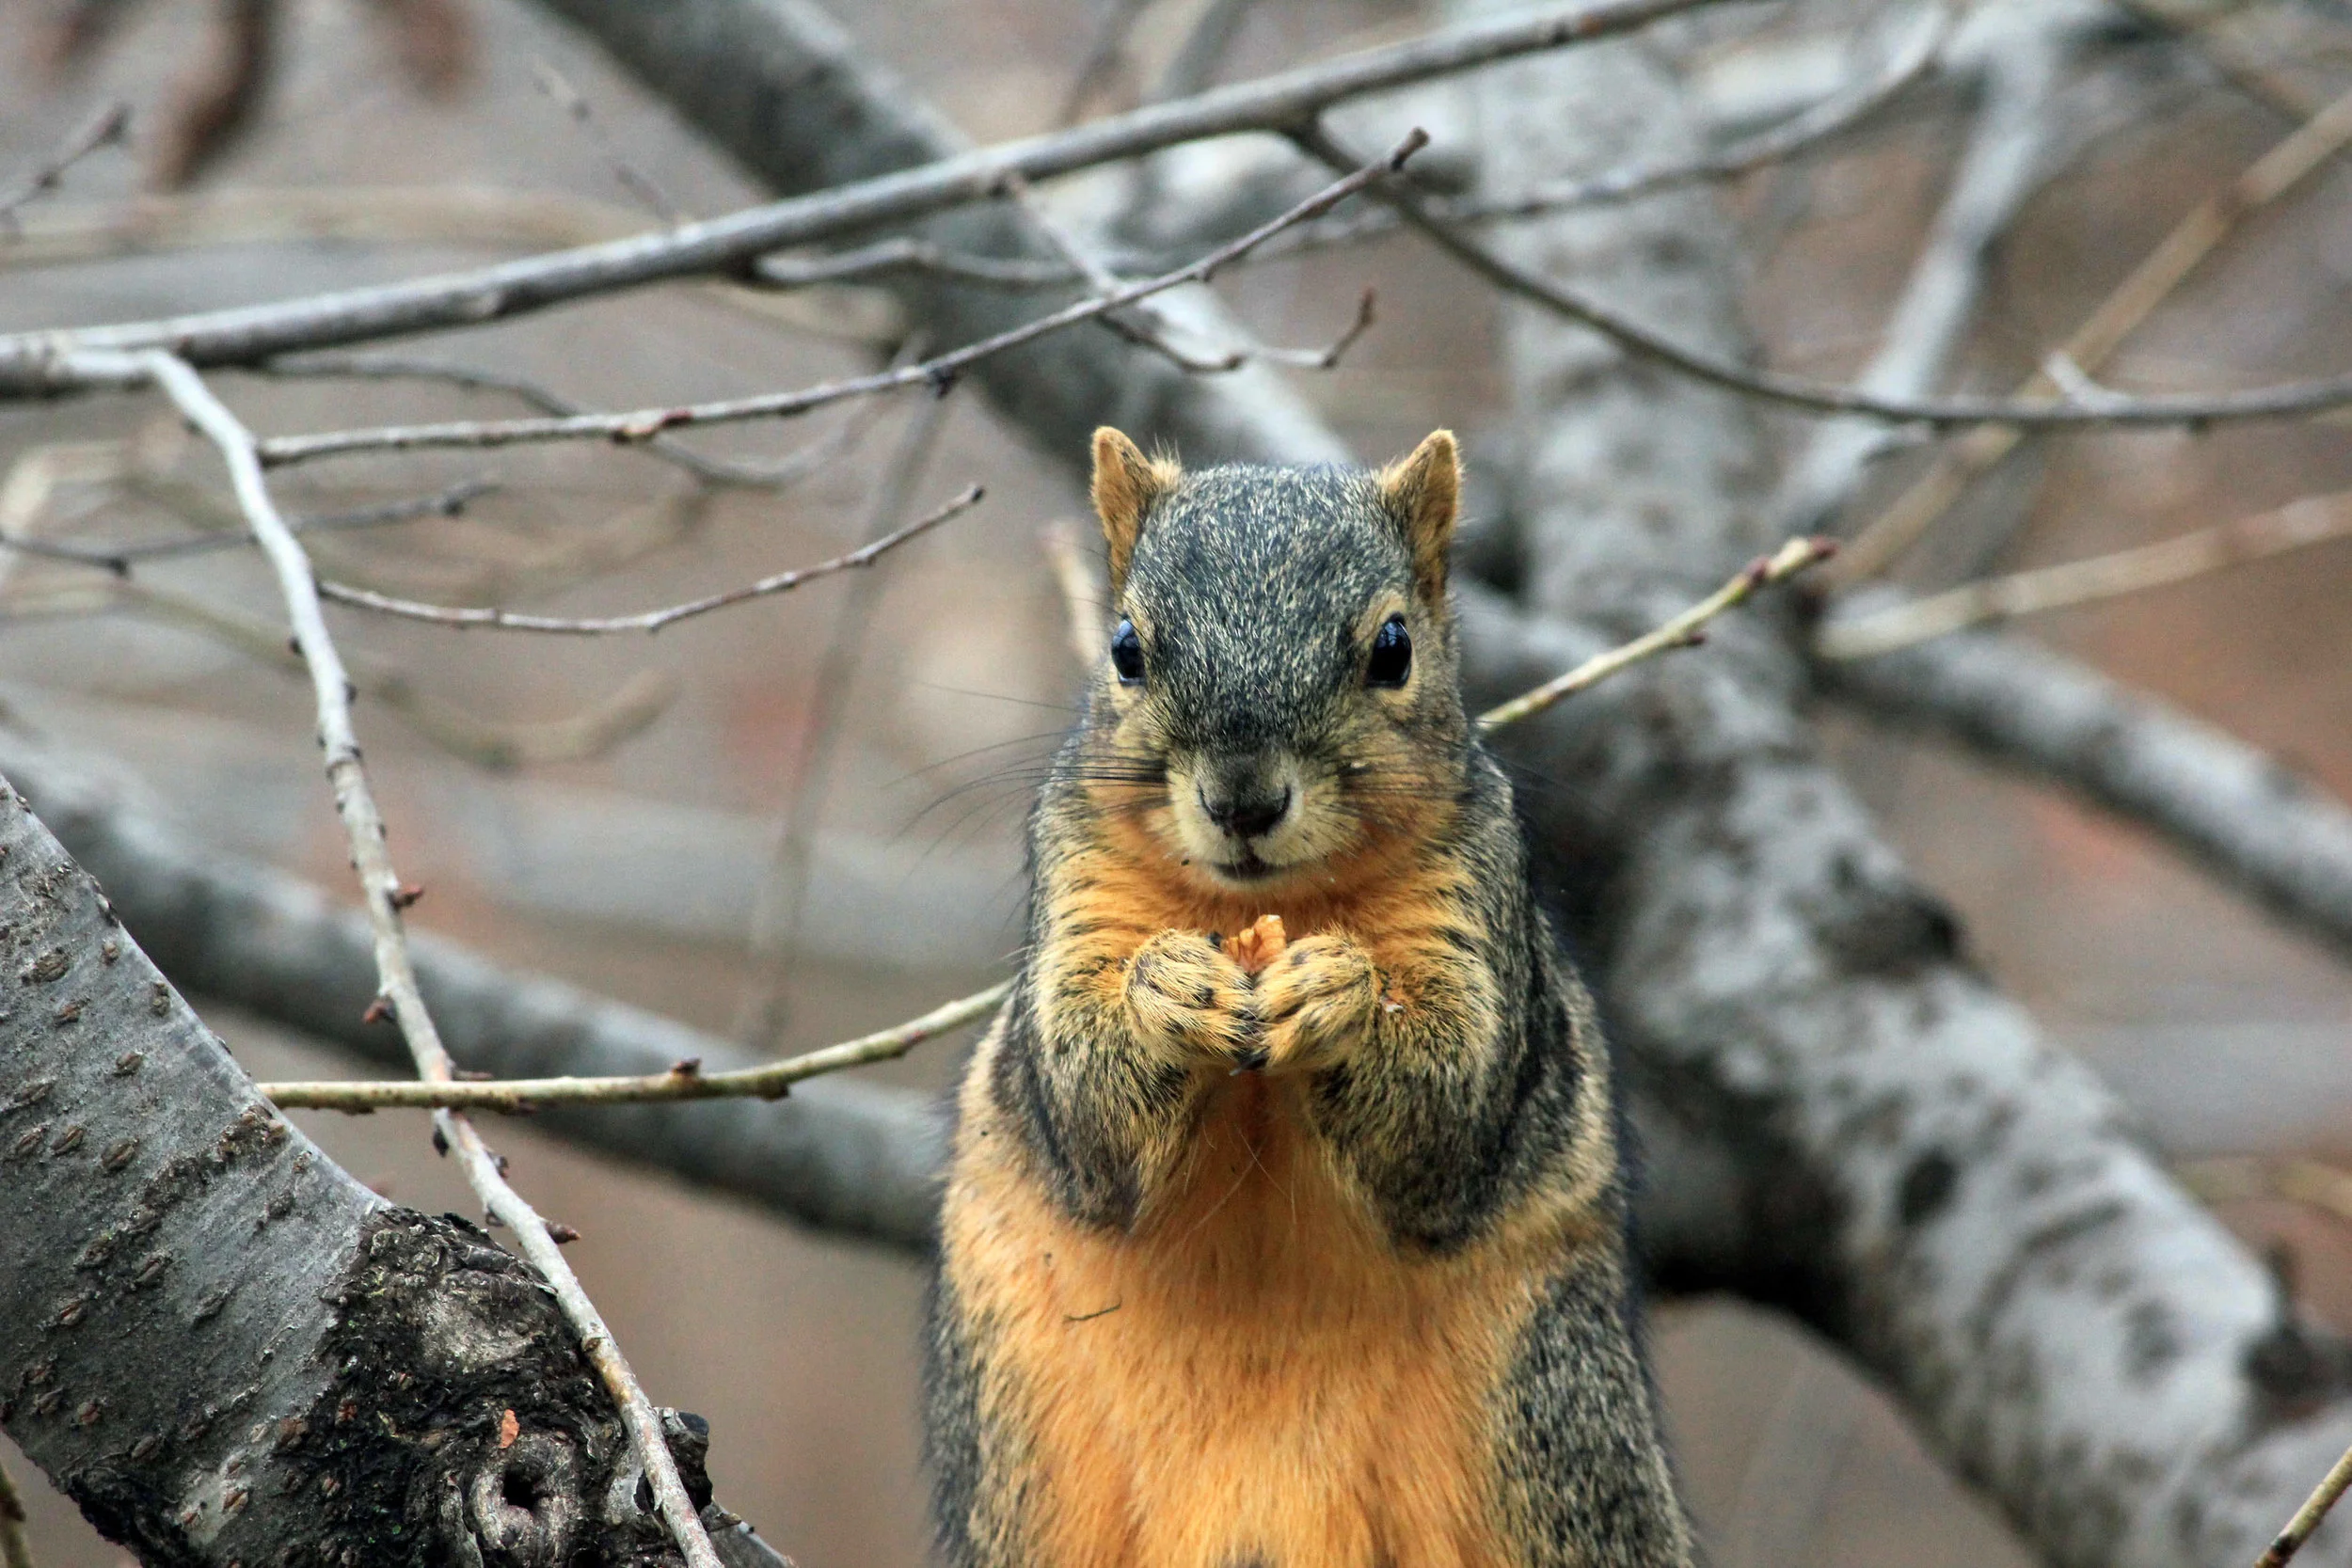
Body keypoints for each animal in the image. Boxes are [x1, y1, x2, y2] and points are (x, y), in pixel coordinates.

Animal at [924, 427, 1694, 1568]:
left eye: (1393, 649)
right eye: (1125, 648)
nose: (1243, 800)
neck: (1261, 906)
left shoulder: (1474, 904)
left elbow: (1448, 1113)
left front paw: (1339, 994)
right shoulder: (1074, 889)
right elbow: (1084, 1109)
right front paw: (1167, 990)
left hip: (1550, 1423)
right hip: (1015, 1451)